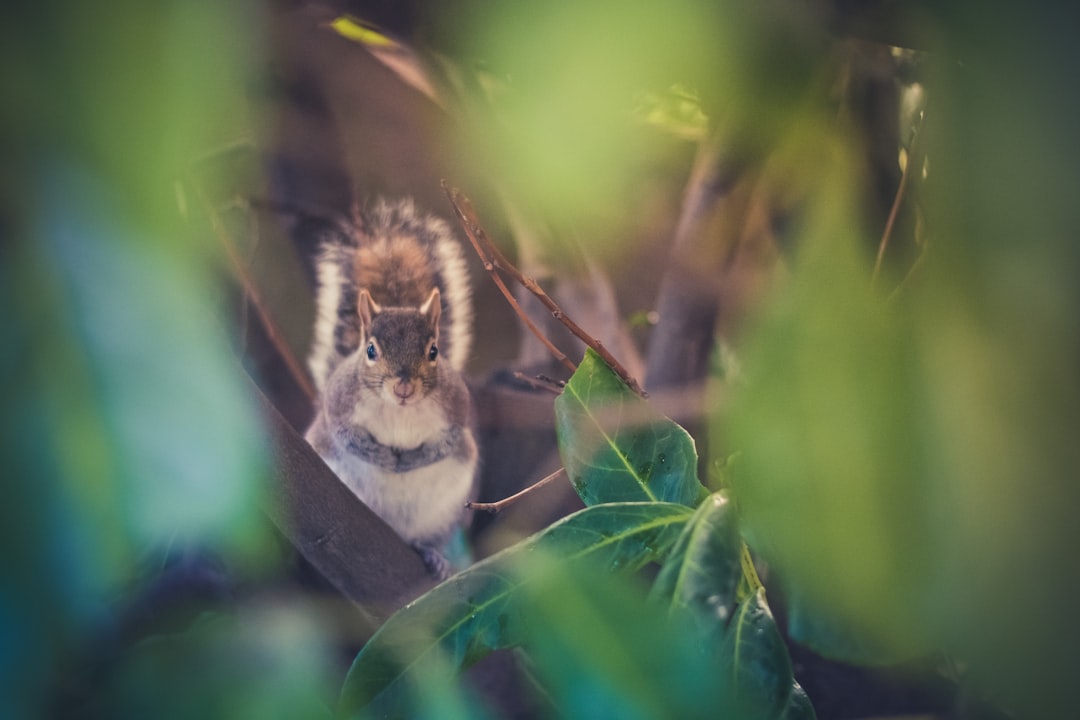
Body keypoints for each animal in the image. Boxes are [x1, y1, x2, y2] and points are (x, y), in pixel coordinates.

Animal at [302, 197, 475, 578]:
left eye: (434, 351)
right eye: (370, 350)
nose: (403, 387)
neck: (399, 410)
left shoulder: (456, 409)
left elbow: (445, 443)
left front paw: (410, 461)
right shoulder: (338, 406)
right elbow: (346, 437)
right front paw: (381, 456)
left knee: (426, 538)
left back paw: (433, 555)